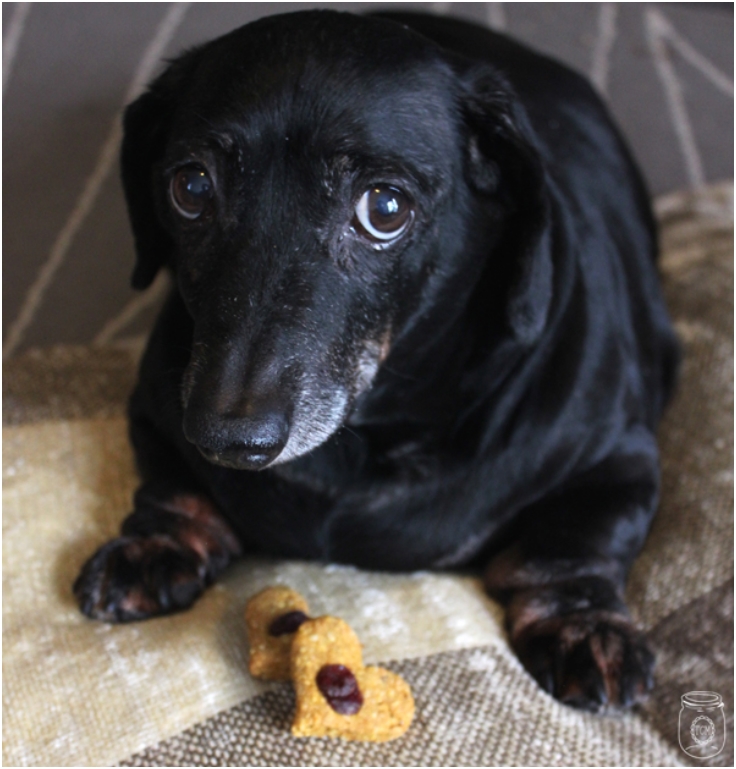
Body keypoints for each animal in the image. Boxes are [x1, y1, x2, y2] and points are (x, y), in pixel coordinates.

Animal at [75, 9, 680, 712]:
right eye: (191, 187)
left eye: (384, 207)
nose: (227, 436)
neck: (358, 446)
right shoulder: (153, 408)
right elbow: (169, 481)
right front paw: (153, 542)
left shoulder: (620, 456)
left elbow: (574, 542)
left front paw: (581, 622)